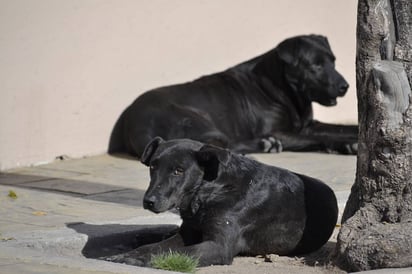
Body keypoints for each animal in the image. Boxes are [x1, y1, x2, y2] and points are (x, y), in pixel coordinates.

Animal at [105, 138, 338, 266]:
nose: (149, 201)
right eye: (153, 166)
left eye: (179, 170)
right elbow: (156, 247)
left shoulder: (218, 246)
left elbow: (175, 252)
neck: (210, 191)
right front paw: (130, 254)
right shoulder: (187, 233)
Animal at [108, 34, 358, 156]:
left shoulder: (307, 125)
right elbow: (321, 138)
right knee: (217, 146)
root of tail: (134, 122)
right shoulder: (279, 131)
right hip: (199, 119)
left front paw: (353, 138)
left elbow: (342, 128)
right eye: (315, 65)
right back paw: (263, 146)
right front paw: (349, 144)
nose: (345, 86)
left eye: (333, 61)